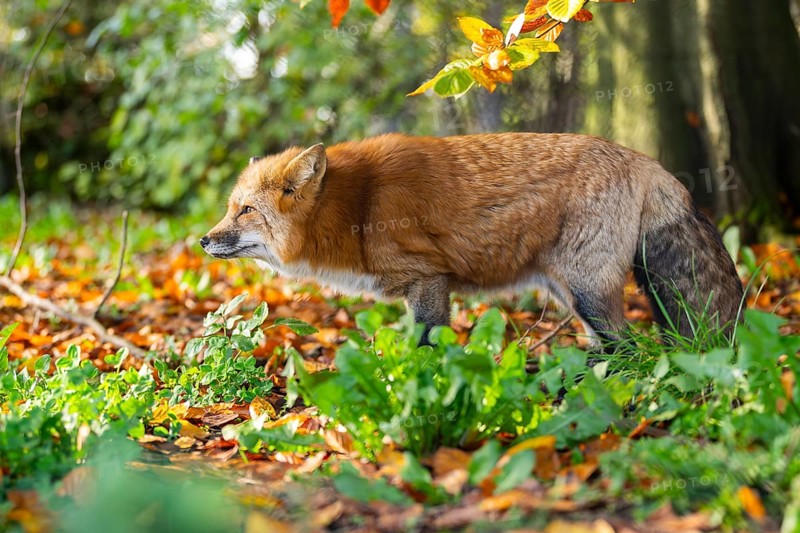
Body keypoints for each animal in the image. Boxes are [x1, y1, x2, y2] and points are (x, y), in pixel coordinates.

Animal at [200, 133, 744, 349]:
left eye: (246, 210)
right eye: (231, 207)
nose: (203, 241)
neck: (358, 209)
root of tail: (642, 159)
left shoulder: (427, 279)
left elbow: (427, 344)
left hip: (587, 291)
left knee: (630, 347)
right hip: (568, 294)